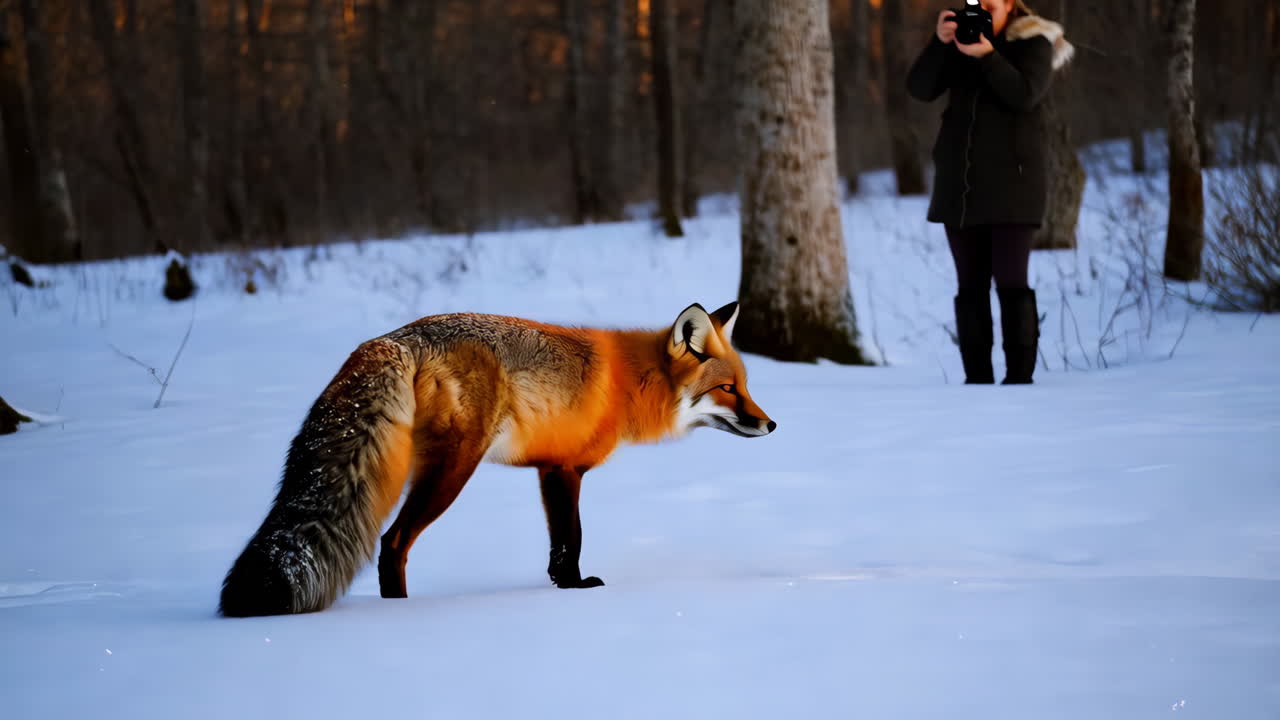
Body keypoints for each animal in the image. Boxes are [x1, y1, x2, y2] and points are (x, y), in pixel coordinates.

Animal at [219, 301, 775, 616]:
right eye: (728, 389)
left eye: (745, 386)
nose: (771, 425)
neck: (630, 383)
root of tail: (394, 339)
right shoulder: (568, 470)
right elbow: (573, 540)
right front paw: (580, 592)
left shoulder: (550, 469)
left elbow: (558, 548)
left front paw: (562, 590)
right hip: (451, 471)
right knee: (393, 542)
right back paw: (398, 616)